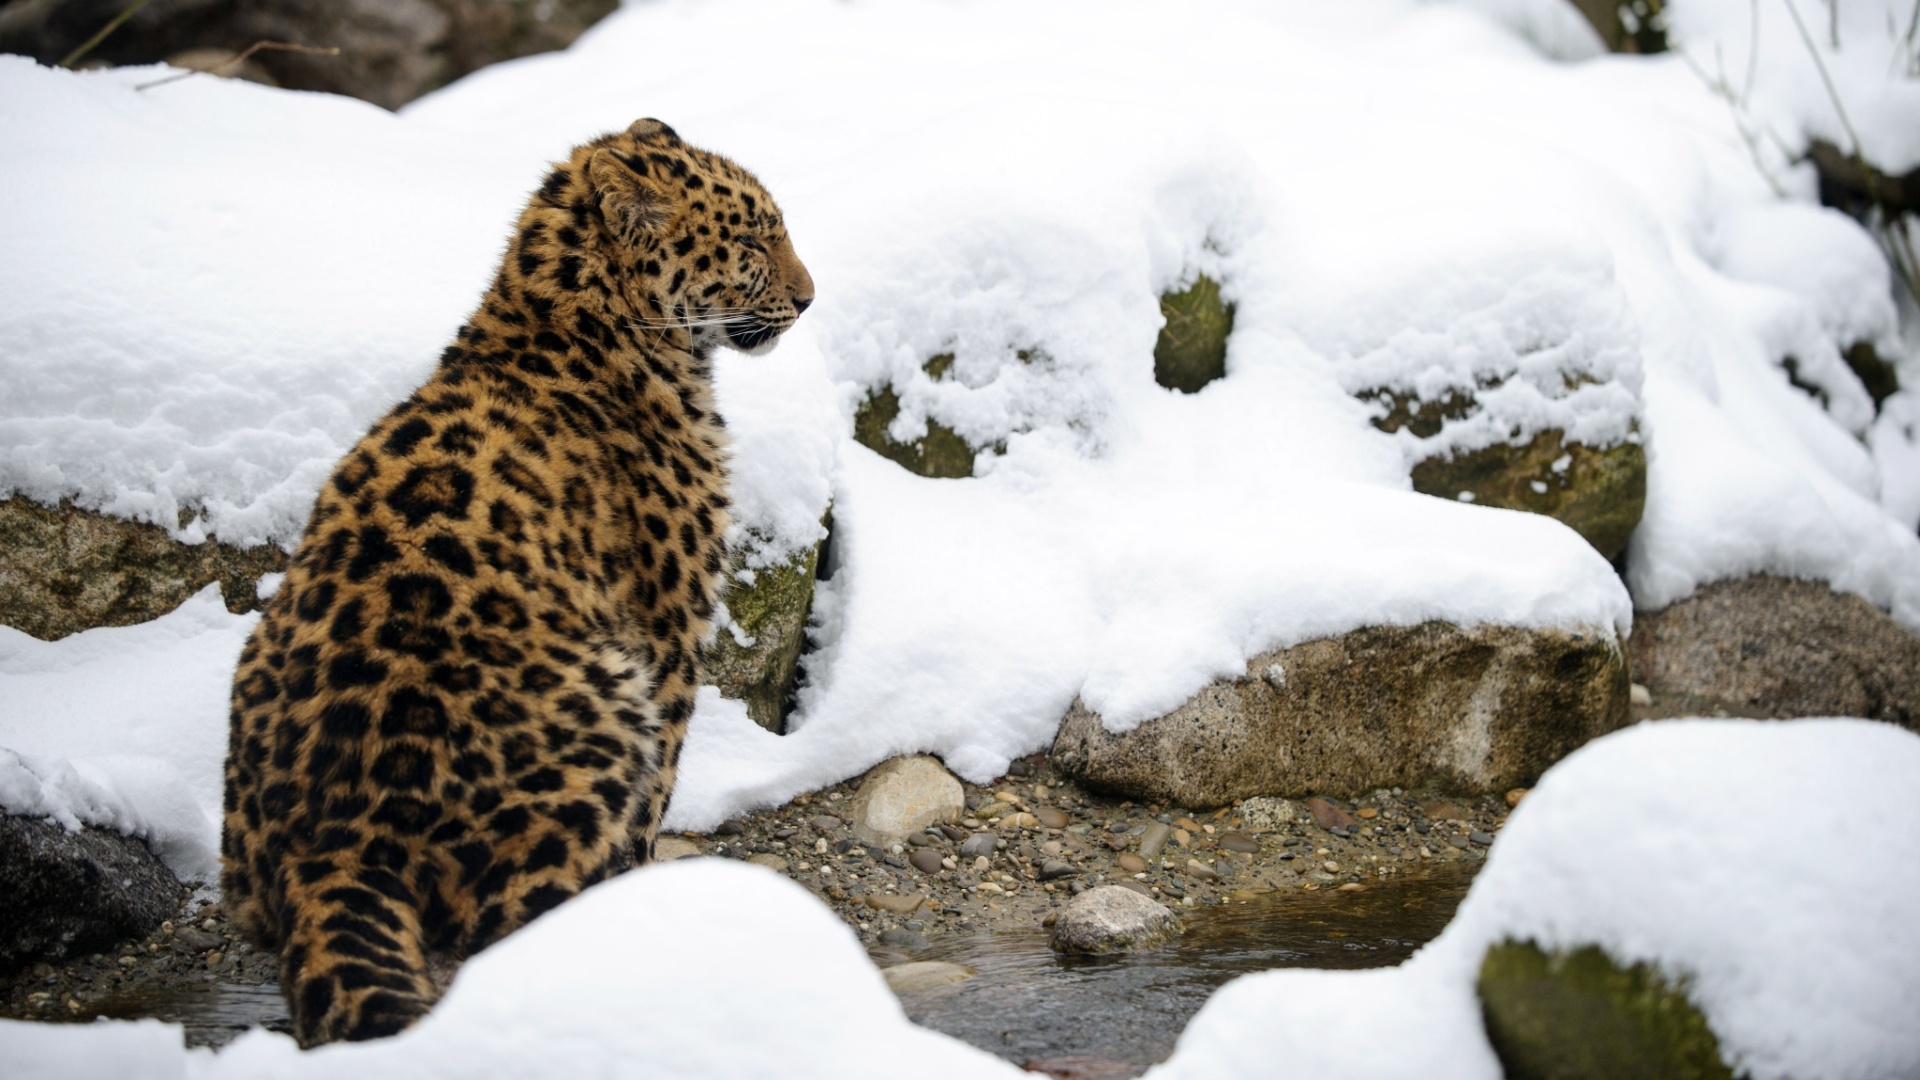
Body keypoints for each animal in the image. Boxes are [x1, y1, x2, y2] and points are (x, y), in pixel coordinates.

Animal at [219, 118, 813, 1047]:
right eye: (754, 239)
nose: (811, 297)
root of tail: (330, 842)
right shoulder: (669, 629)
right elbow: (656, 798)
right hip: (604, 702)